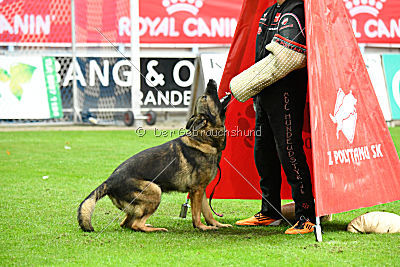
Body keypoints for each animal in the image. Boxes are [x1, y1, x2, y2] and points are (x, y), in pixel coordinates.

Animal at [77, 79, 231, 232]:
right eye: (205, 96)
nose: (211, 80)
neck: (205, 138)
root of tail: (110, 180)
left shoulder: (201, 190)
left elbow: (208, 212)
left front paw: (217, 225)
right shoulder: (197, 190)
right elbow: (197, 214)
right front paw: (202, 227)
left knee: (126, 223)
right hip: (155, 190)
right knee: (136, 224)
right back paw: (155, 229)